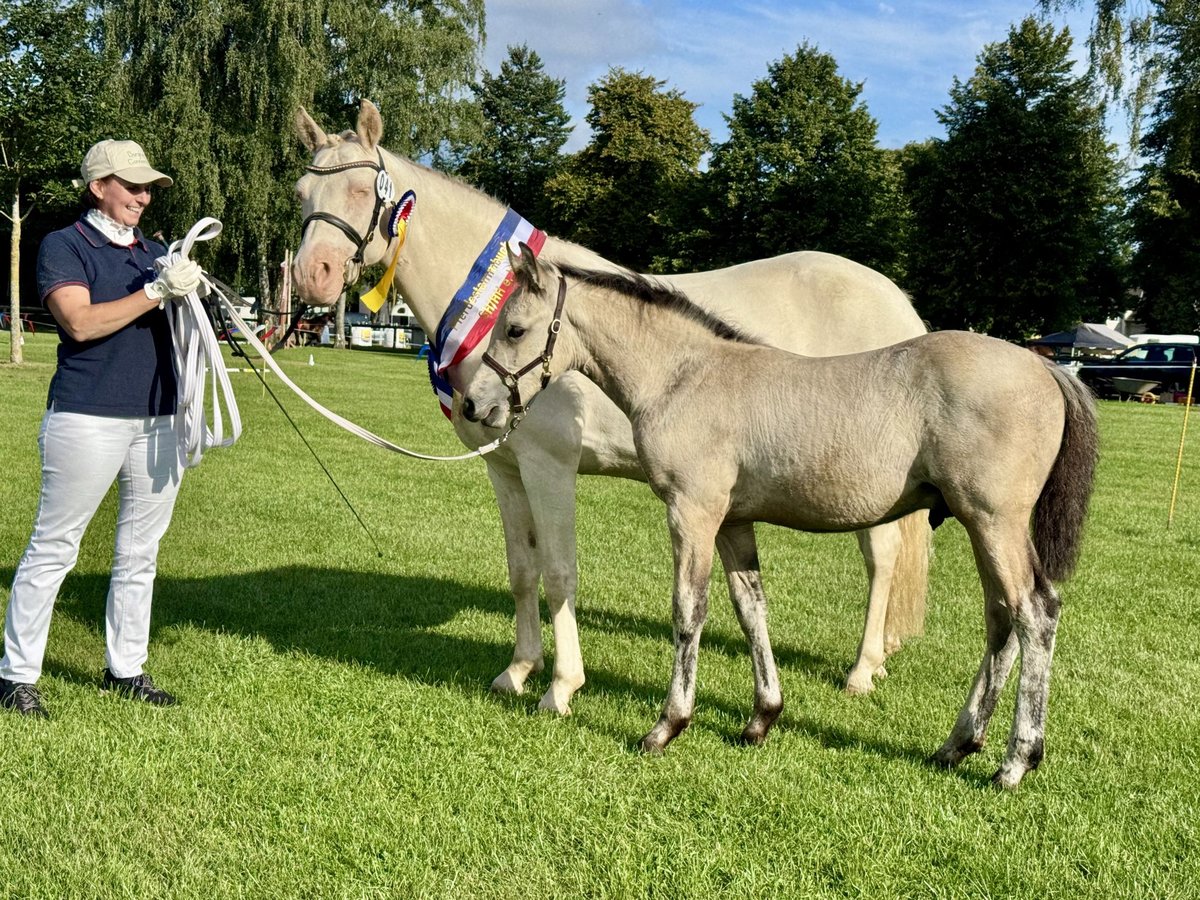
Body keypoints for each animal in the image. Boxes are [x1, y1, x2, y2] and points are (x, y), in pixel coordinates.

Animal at [291, 99, 931, 714]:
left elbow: (558, 573)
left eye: (361, 190)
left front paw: (561, 687)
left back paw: (861, 670)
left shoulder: (550, 468)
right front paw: (517, 671)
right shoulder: (505, 469)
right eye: (301, 192)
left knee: (882, 557)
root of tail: (899, 303)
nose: (313, 276)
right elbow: (521, 571)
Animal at [462, 246, 1098, 789]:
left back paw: (1016, 761)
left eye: (514, 328)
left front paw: (666, 726)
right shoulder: (732, 522)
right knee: (1001, 618)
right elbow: (751, 609)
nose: (474, 404)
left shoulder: (692, 512)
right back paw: (958, 744)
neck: (685, 376)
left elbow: (689, 611)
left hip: (993, 521)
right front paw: (761, 718)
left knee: (1035, 613)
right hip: (983, 525)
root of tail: (1048, 369)